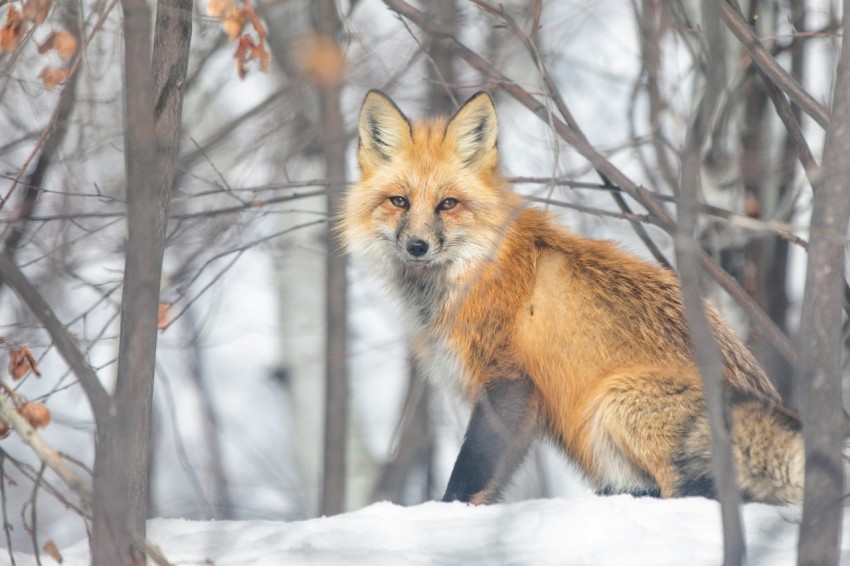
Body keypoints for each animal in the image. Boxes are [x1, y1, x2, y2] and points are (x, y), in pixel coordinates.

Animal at [339, 89, 807, 506]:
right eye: (399, 201)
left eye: (448, 204)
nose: (417, 246)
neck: (474, 270)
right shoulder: (525, 409)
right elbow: (491, 481)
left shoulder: (509, 379)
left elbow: (470, 471)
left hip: (615, 402)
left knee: (698, 493)